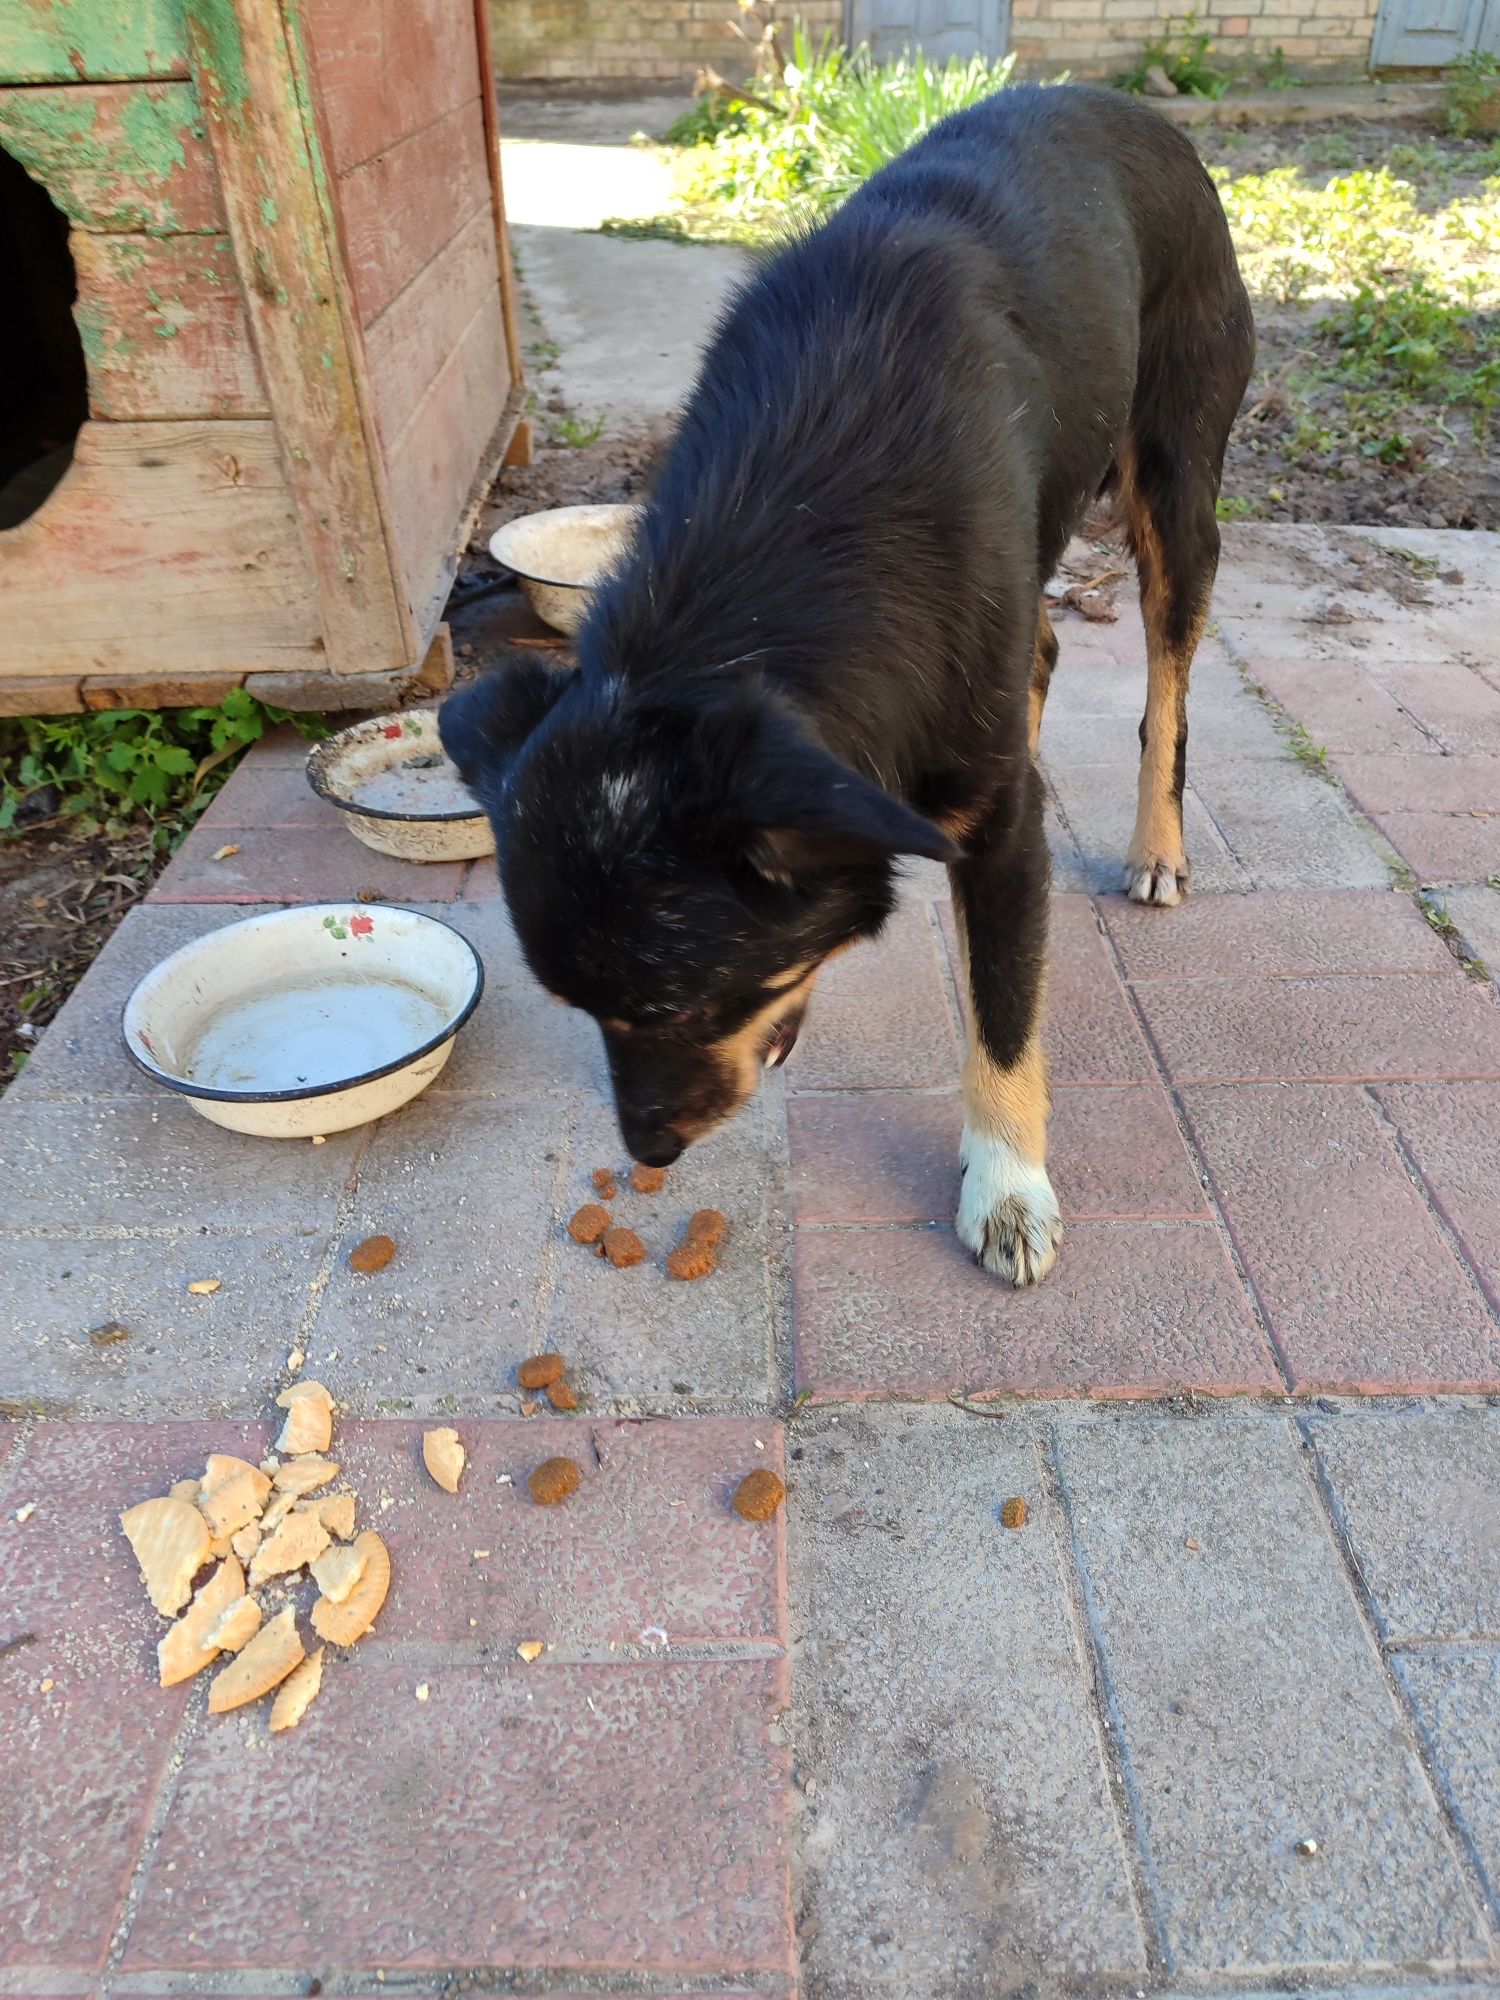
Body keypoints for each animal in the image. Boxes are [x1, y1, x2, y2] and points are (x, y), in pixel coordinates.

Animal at [444, 82, 1256, 1280]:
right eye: (576, 1006)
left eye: (679, 1005)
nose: (648, 1150)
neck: (790, 519)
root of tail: (1133, 107)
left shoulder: (1001, 830)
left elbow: (1005, 1014)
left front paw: (1007, 1185)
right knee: (1045, 657)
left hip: (1177, 486)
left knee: (1168, 689)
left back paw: (1159, 847)